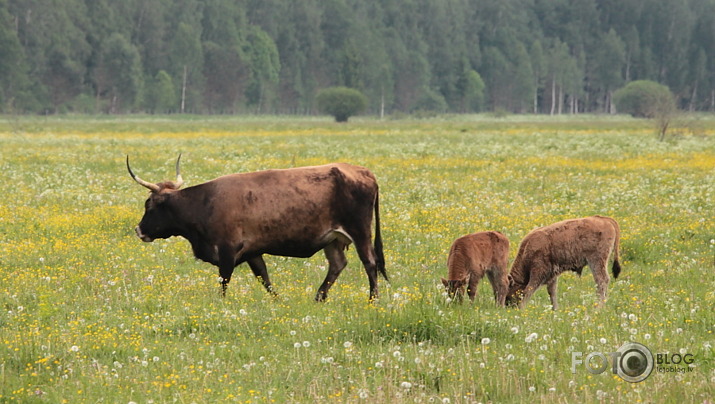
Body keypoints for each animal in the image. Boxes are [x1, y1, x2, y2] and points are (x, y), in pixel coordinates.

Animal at [126, 156, 388, 302]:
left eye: (149, 205)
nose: (139, 230)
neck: (204, 203)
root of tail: (364, 172)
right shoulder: (252, 252)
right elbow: (265, 278)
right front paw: (278, 301)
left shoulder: (227, 251)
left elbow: (224, 280)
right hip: (332, 240)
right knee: (337, 265)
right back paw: (319, 297)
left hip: (360, 232)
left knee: (370, 263)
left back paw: (372, 299)